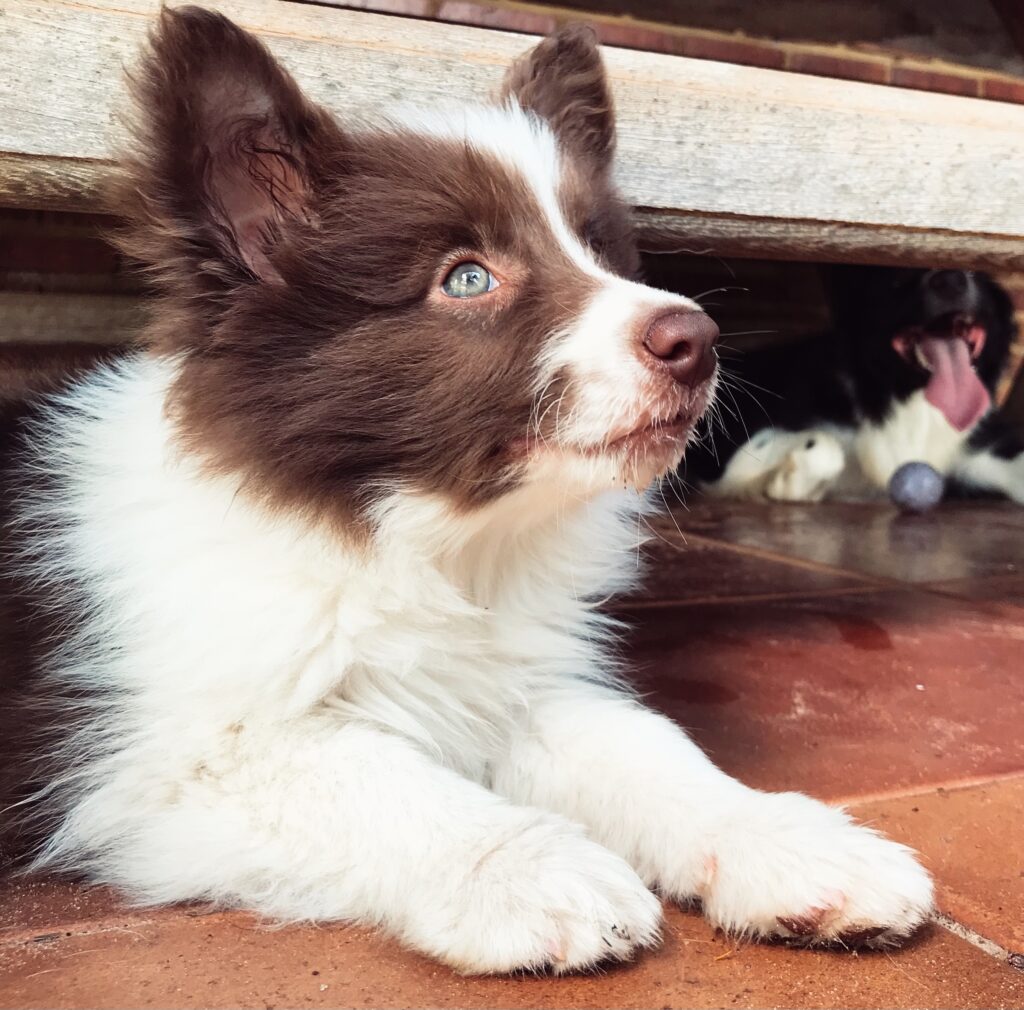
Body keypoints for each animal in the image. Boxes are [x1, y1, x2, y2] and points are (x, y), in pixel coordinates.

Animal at [0, 5, 933, 966]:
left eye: (600, 250)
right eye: (468, 278)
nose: (698, 341)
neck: (424, 540)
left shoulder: (515, 679)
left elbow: (644, 743)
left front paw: (788, 842)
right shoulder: (164, 763)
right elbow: (372, 772)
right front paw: (528, 868)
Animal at [684, 266, 1019, 501]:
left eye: (975, 270)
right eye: (901, 274)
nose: (950, 280)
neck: (900, 393)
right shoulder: (727, 454)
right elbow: (825, 447)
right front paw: (788, 482)